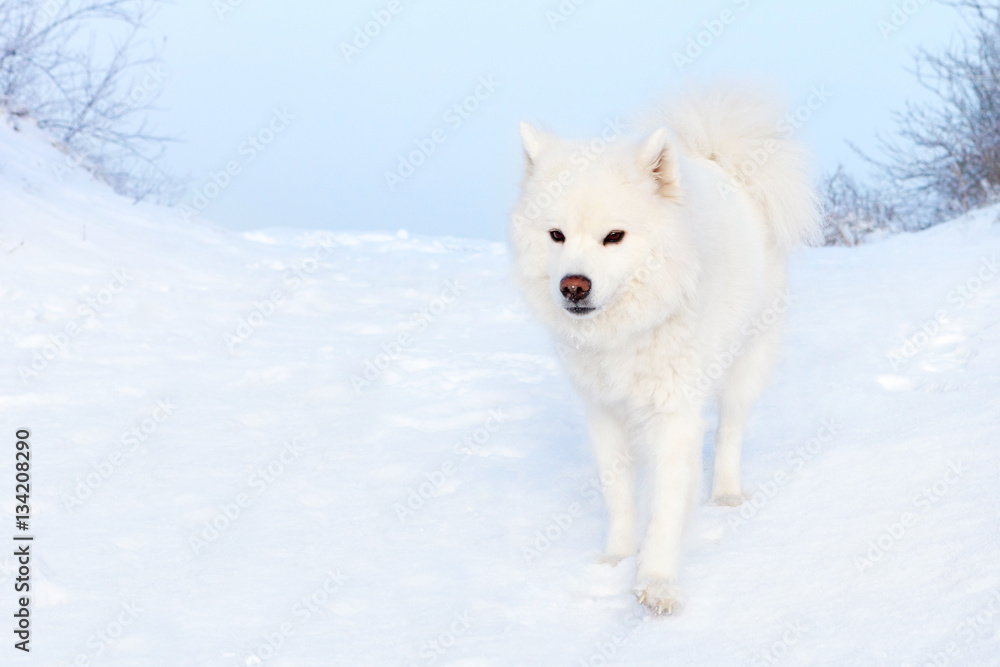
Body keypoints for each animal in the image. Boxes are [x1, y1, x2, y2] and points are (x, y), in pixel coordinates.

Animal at [512, 87, 816, 616]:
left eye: (614, 236)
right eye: (556, 235)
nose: (573, 286)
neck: (627, 335)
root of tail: (720, 161)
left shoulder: (674, 416)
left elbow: (667, 507)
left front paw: (656, 582)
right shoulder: (604, 412)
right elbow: (619, 495)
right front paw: (616, 558)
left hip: (747, 362)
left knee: (731, 432)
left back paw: (727, 495)